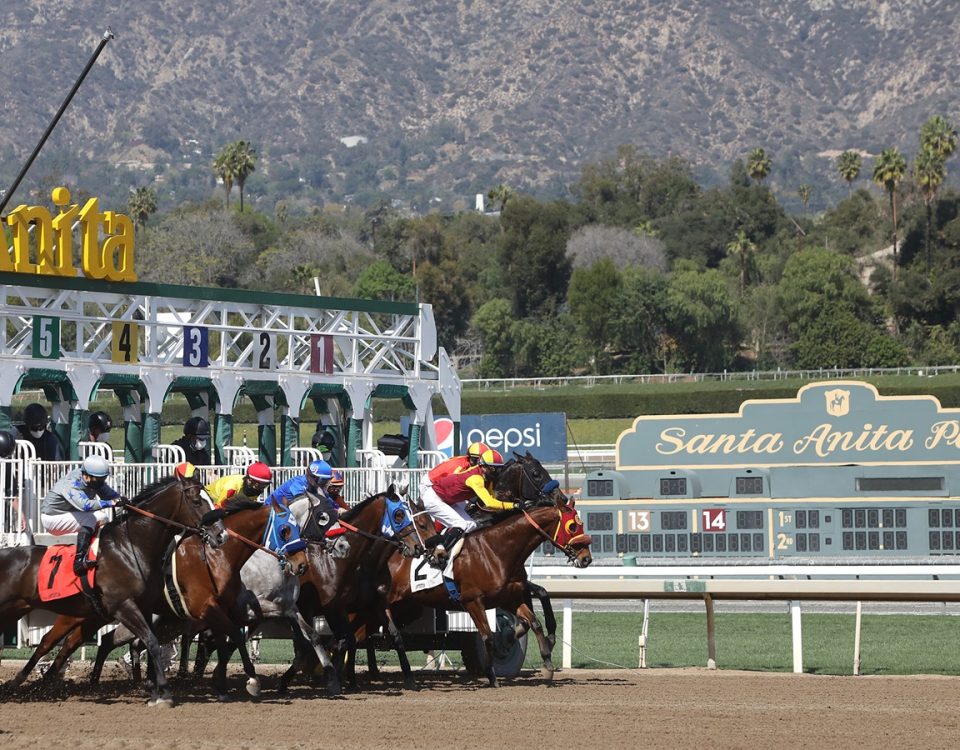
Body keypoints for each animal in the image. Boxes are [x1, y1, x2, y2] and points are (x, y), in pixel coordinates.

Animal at [0, 476, 208, 704]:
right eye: (197, 501)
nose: (218, 533)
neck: (129, 548)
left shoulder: (143, 607)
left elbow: (149, 641)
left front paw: (154, 688)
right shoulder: (124, 606)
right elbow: (151, 642)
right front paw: (163, 691)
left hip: (34, 611)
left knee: (58, 642)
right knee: (53, 642)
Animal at [376, 456, 592, 692]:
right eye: (572, 527)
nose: (586, 558)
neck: (496, 548)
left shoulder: (511, 594)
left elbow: (535, 613)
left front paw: (544, 654)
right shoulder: (473, 601)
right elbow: (489, 635)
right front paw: (492, 671)